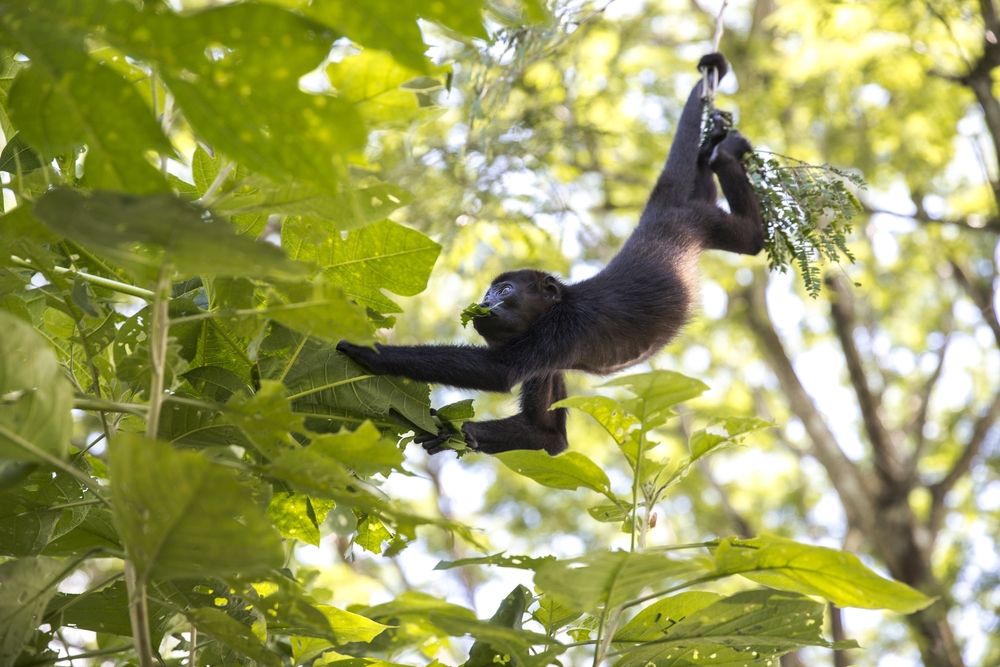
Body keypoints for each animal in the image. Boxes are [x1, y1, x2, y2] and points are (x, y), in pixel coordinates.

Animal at [338, 54, 764, 456]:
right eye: (488, 293)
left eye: (504, 290)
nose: (486, 301)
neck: (555, 306)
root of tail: (659, 215)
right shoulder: (546, 351)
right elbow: (547, 436)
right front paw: (456, 430)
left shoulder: (562, 329)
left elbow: (500, 371)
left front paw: (367, 350)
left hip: (698, 220)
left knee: (751, 240)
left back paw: (726, 156)